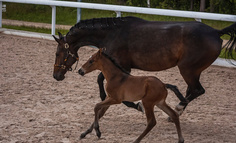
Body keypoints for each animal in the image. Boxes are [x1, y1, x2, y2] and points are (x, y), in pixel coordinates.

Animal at [53, 16, 236, 115]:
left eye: (57, 53)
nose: (56, 75)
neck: (112, 34)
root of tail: (216, 32)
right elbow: (100, 79)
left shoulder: (123, 66)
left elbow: (101, 79)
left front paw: (135, 105)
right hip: (194, 71)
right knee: (191, 90)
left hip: (187, 69)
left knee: (198, 90)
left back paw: (177, 108)